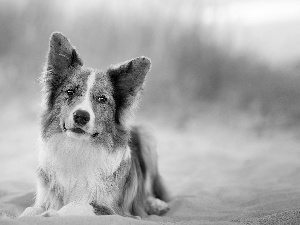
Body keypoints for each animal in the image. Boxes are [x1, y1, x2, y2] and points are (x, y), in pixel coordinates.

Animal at [19, 32, 170, 218]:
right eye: (70, 91)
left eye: (102, 99)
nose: (81, 116)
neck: (77, 149)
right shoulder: (45, 196)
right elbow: (30, 211)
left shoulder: (112, 209)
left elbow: (75, 206)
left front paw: (52, 214)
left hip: (146, 135)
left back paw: (156, 204)